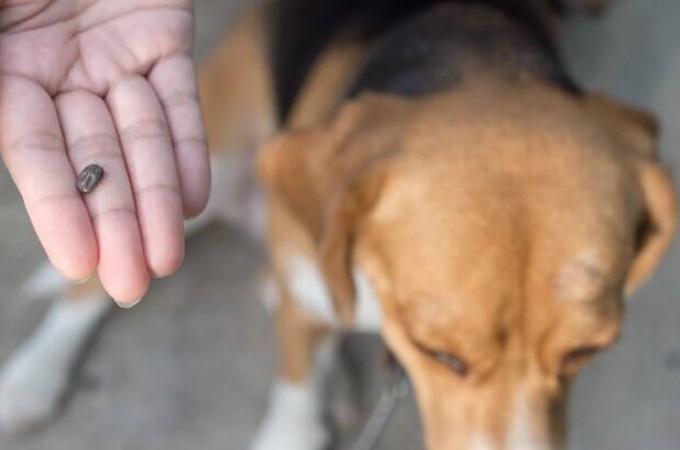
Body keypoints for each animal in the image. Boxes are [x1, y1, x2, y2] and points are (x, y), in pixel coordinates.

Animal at [2, 0, 676, 448]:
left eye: (588, 352)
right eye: (440, 354)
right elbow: (296, 393)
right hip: (211, 161)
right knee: (90, 291)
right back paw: (32, 378)